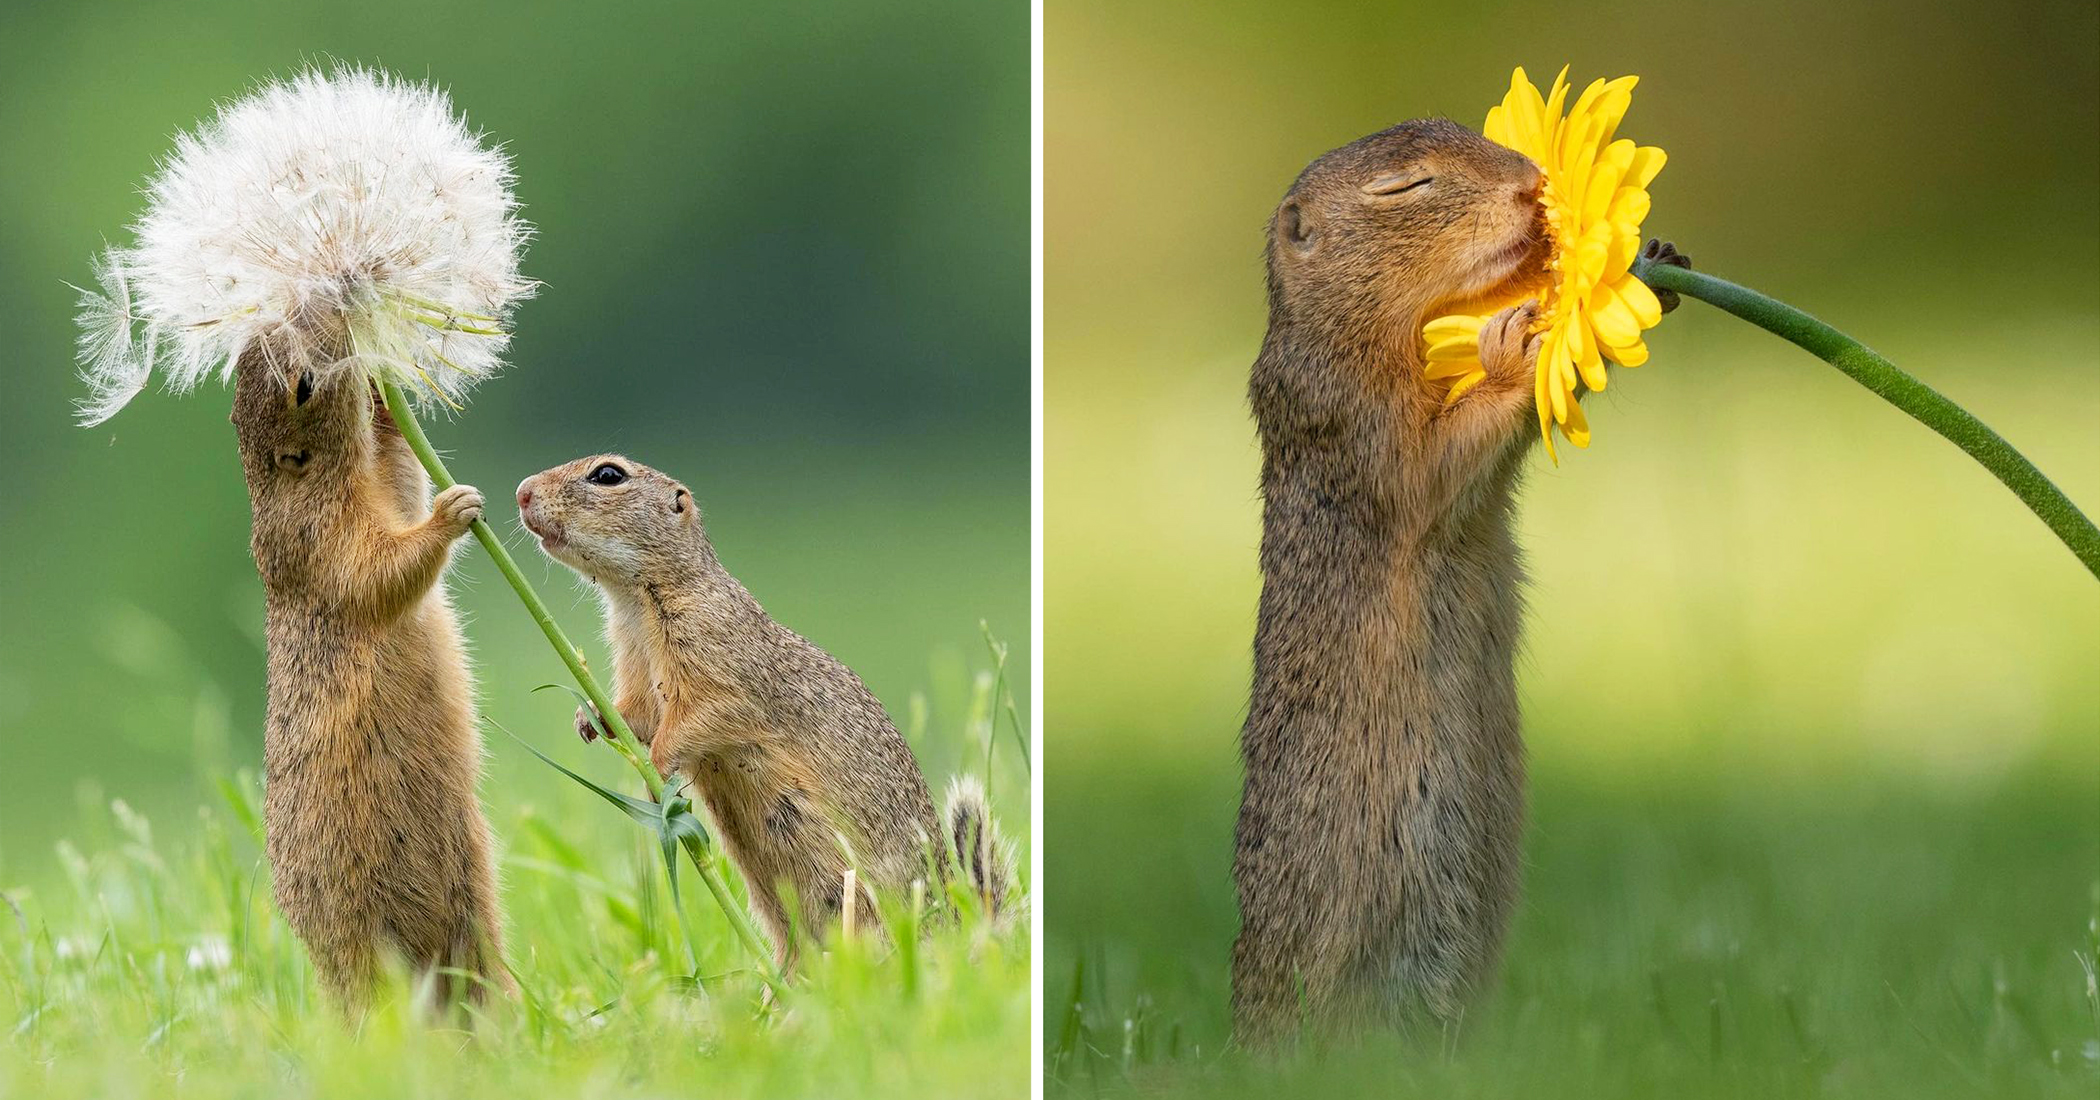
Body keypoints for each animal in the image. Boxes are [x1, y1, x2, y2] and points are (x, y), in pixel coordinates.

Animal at [229, 347, 507, 1008]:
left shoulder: (384, 485)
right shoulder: (319, 538)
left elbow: (404, 475)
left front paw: (386, 397)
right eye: (303, 385)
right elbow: (379, 567)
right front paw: (453, 510)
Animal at [516, 455, 1011, 967]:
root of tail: (956, 934)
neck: (637, 603)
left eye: (608, 475)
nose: (522, 492)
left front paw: (657, 771)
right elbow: (635, 715)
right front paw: (590, 718)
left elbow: (703, 718)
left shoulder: (716, 658)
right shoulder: (636, 669)